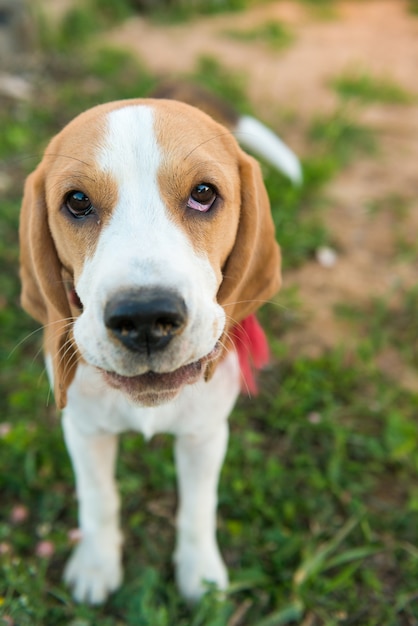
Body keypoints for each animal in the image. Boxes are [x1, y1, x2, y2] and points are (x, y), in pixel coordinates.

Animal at [19, 90, 300, 604]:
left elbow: (198, 507)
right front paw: (96, 565)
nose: (145, 318)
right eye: (77, 201)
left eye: (204, 194)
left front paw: (200, 575)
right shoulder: (83, 430)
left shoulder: (205, 435)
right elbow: (99, 500)